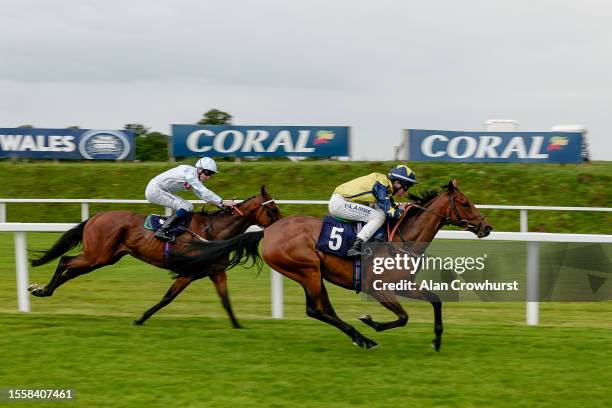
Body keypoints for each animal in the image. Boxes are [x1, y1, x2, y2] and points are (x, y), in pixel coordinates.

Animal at [26, 186, 280, 326]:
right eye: (272, 209)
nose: (283, 226)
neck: (213, 233)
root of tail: (95, 217)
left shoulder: (212, 272)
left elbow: (225, 301)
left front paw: (239, 327)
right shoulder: (189, 270)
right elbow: (167, 298)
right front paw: (140, 319)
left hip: (104, 258)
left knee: (71, 271)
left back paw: (43, 290)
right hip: (96, 255)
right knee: (65, 261)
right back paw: (42, 290)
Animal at [167, 181, 492, 350]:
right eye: (465, 203)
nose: (487, 227)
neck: (401, 236)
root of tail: (268, 232)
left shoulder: (403, 284)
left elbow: (435, 301)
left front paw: (436, 340)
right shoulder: (376, 288)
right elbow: (402, 317)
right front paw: (371, 321)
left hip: (316, 273)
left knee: (325, 310)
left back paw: (359, 338)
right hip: (307, 269)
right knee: (316, 310)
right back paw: (363, 337)